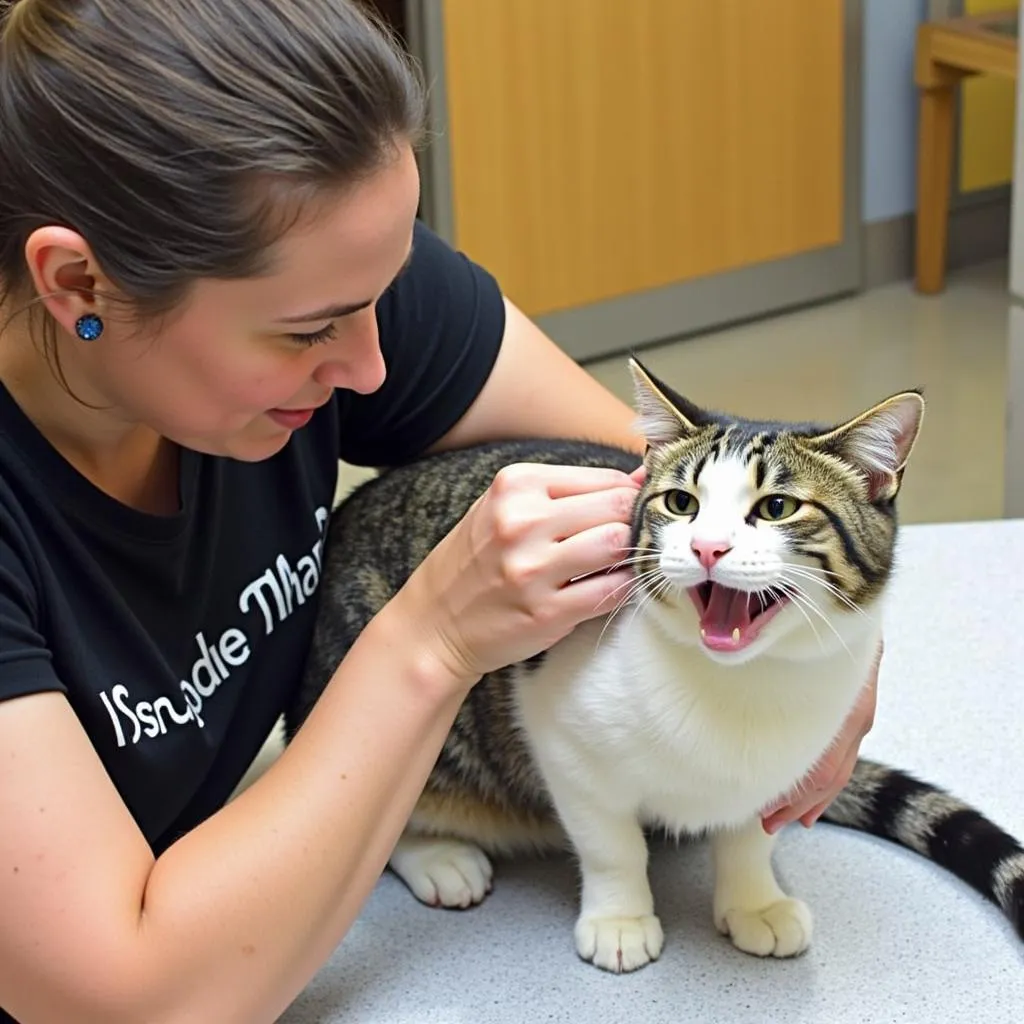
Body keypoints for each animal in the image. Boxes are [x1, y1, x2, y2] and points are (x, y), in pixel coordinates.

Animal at [290, 356, 1024, 970]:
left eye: (777, 507)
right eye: (681, 503)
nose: (707, 547)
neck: (739, 690)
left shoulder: (786, 770)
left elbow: (750, 835)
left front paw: (753, 899)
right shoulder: (562, 740)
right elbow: (611, 843)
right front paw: (620, 918)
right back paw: (439, 855)